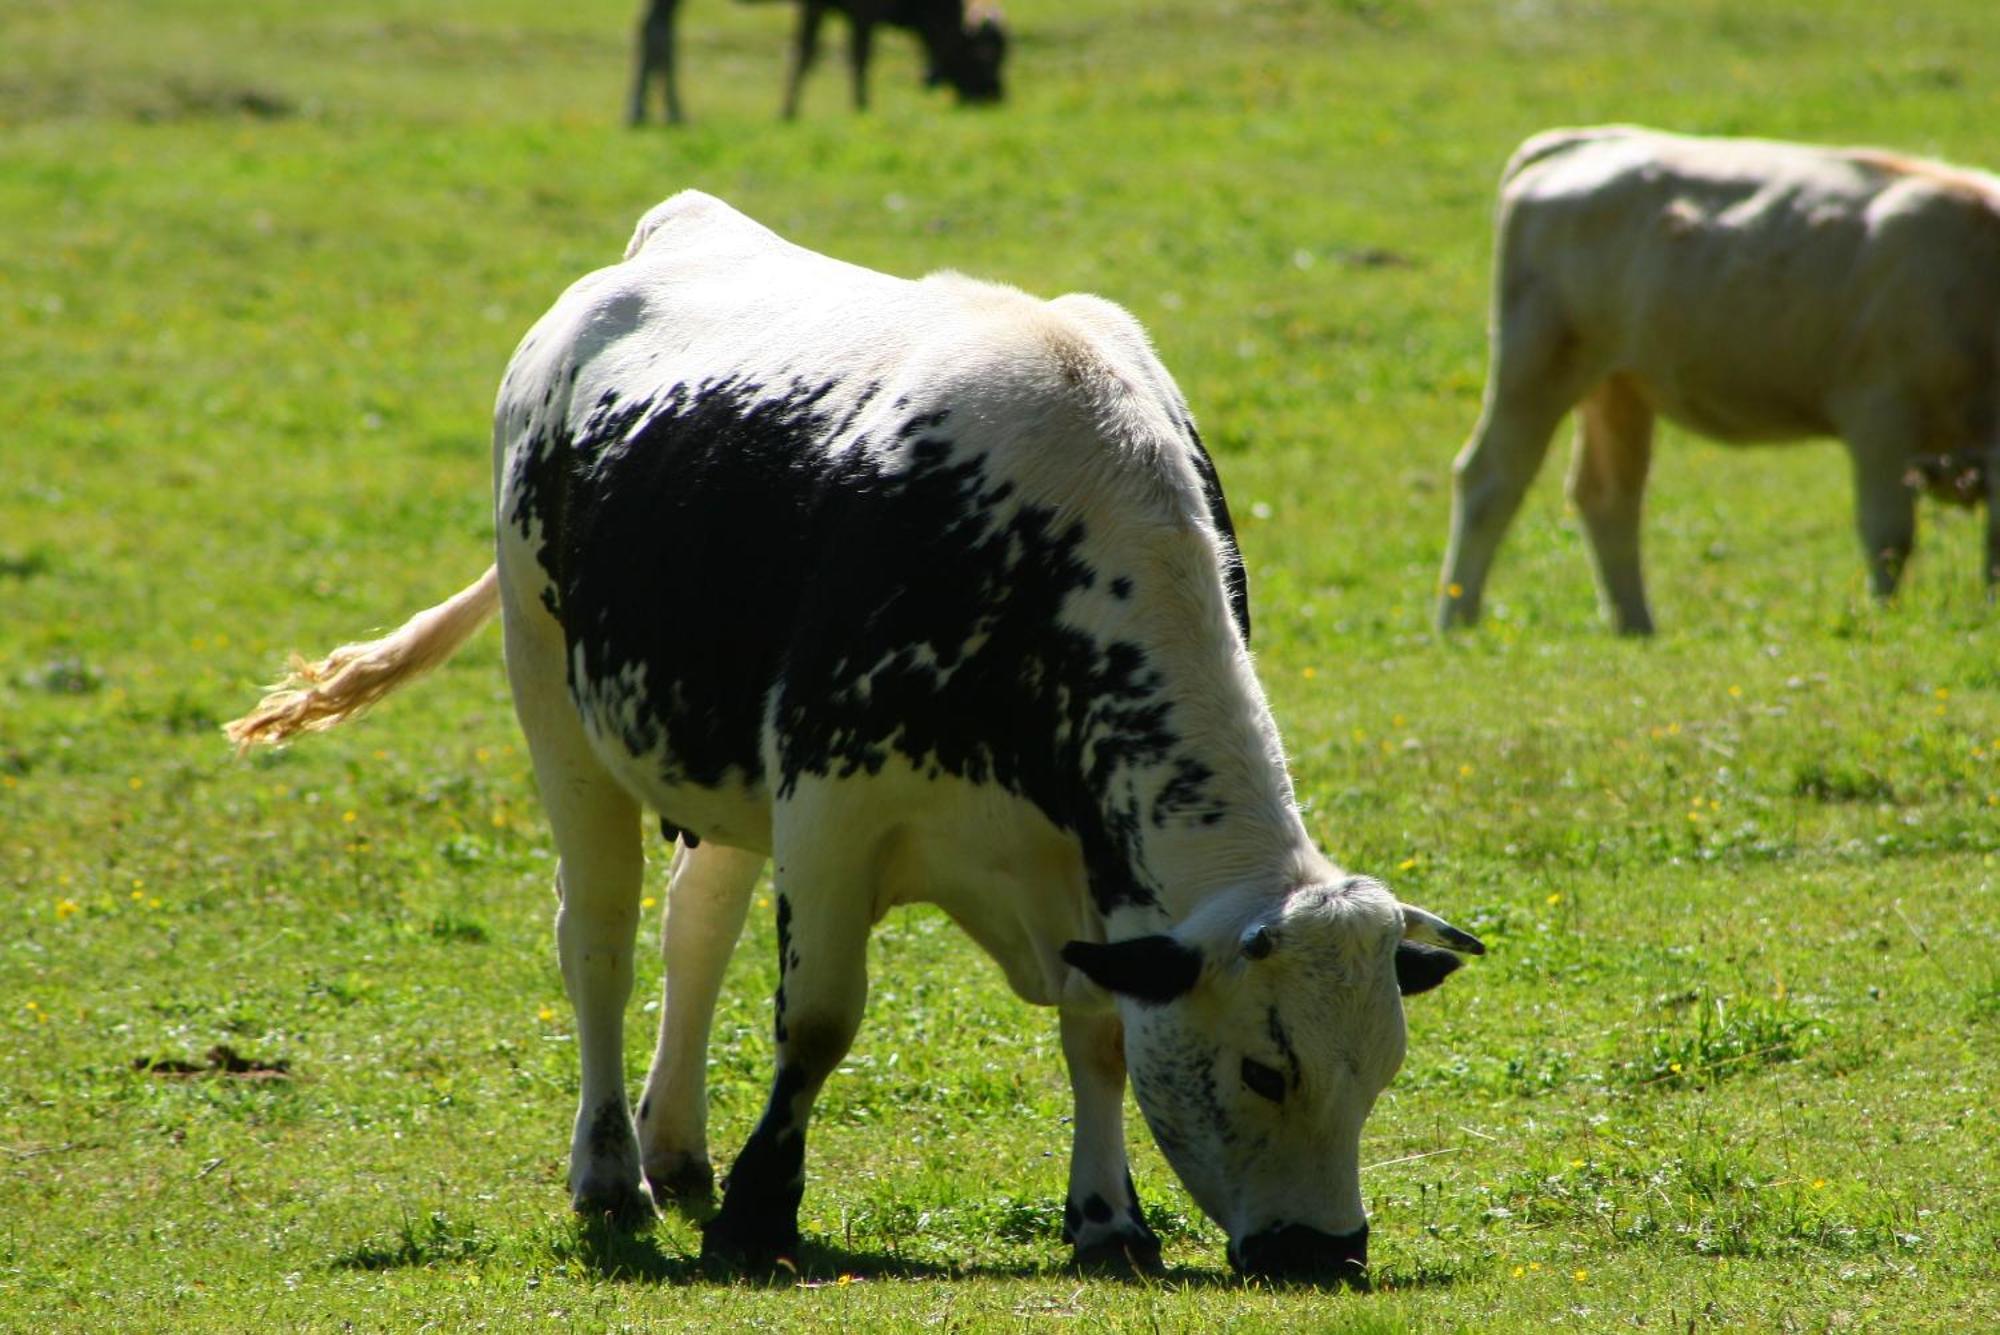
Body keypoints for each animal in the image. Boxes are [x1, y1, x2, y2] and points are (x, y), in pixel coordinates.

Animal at [234, 189, 1488, 1279]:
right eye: (1266, 1070)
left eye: (1379, 1071)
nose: (1326, 1253)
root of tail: (677, 229)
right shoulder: (831, 807)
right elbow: (821, 1020)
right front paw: (757, 1214)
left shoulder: (1085, 862)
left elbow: (1100, 1033)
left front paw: (1106, 1218)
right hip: (558, 705)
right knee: (599, 938)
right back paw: (610, 1170)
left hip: (712, 764)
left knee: (695, 930)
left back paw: (674, 1148)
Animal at [1440, 121, 2000, 635]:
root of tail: (1576, 140)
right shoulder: (1879, 414)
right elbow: (1889, 534)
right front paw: (1886, 619)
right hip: (1537, 363)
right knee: (1491, 478)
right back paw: (1458, 618)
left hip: (1618, 383)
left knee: (1607, 493)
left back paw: (1635, 625)